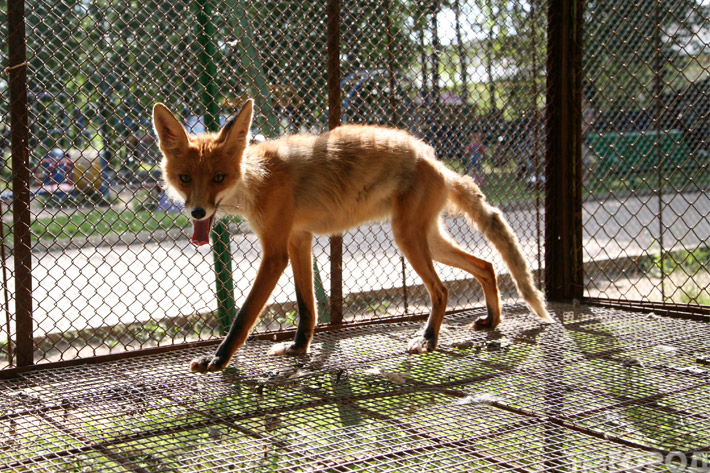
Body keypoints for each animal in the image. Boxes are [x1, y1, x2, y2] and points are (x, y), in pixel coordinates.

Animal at [152, 99, 556, 372]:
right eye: (185, 178)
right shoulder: (299, 240)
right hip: (429, 239)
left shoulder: (275, 250)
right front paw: (298, 348)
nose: (198, 212)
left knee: (441, 289)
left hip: (408, 239)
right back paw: (492, 321)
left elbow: (244, 315)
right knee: (487, 265)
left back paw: (428, 339)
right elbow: (307, 307)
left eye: (218, 178)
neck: (257, 180)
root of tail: (436, 160)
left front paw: (218, 360)